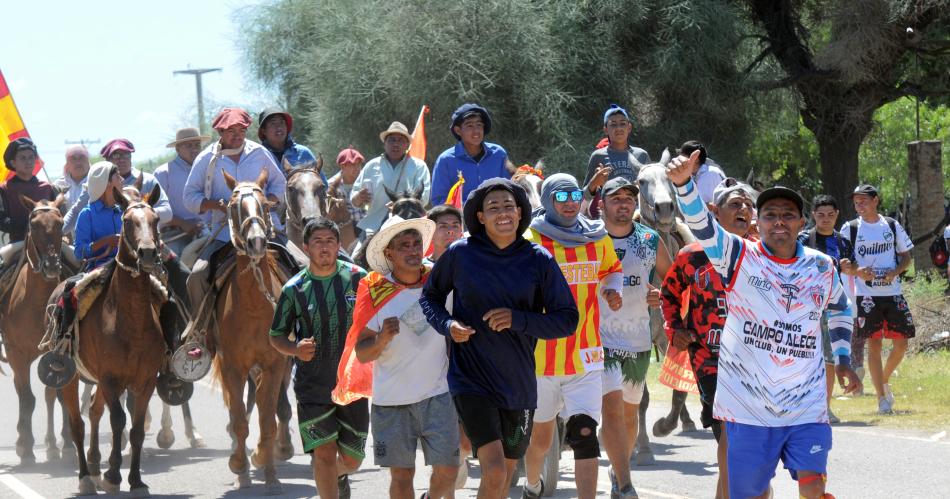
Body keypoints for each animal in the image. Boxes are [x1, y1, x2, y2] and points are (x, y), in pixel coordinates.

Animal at [1, 196, 69, 464]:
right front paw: (26, 447)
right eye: (34, 224)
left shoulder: (56, 353)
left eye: (60, 223)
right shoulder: (17, 354)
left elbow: (56, 394)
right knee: (22, 392)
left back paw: (52, 444)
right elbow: (27, 399)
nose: (51, 265)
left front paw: (63, 445)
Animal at [59, 186, 167, 498]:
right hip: (70, 378)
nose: (147, 252)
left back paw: (95, 466)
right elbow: (118, 420)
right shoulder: (109, 378)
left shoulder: (145, 381)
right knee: (78, 424)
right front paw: (114, 475)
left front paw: (136, 480)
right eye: (128, 221)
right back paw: (86, 476)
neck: (129, 321)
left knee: (95, 411)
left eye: (156, 219)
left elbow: (137, 429)